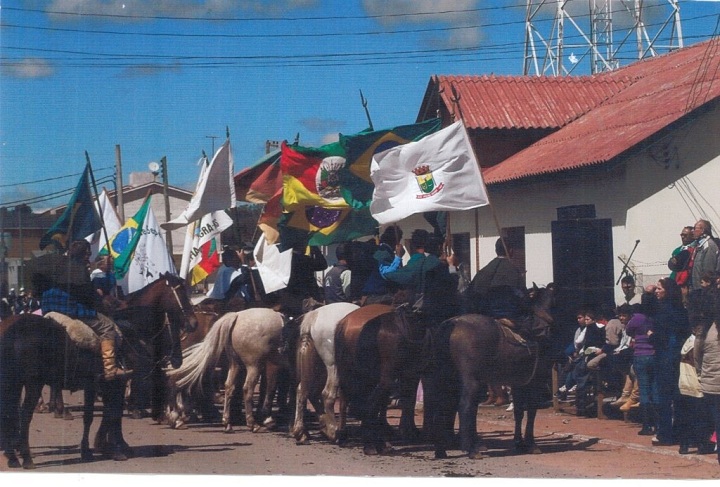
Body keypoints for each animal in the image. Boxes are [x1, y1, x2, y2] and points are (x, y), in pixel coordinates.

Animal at [0, 274, 197, 468]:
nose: (193, 323)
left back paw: (12, 455)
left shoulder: (95, 384)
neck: (130, 329)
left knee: (10, 413)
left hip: (14, 383)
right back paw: (26, 457)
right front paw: (115, 447)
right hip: (33, 383)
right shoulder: (116, 383)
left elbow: (93, 416)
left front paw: (91, 448)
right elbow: (113, 413)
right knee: (24, 414)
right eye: (181, 292)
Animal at [166, 306, 296, 432]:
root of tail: (236, 316)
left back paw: (225, 422)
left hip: (235, 364)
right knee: (247, 389)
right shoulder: (273, 366)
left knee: (228, 386)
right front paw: (268, 418)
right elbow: (271, 389)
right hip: (253, 365)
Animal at [290, 304, 360, 448]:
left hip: (318, 367)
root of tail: (313, 315)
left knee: (303, 391)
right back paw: (333, 432)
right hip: (332, 366)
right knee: (327, 394)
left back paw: (302, 432)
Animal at [424, 284, 560, 460]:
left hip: (445, 377)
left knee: (442, 406)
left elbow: (518, 412)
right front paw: (531, 444)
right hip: (470, 380)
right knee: (465, 406)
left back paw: (441, 449)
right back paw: (471, 449)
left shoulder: (518, 382)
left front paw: (519, 442)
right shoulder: (535, 381)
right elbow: (531, 411)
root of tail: (451, 323)